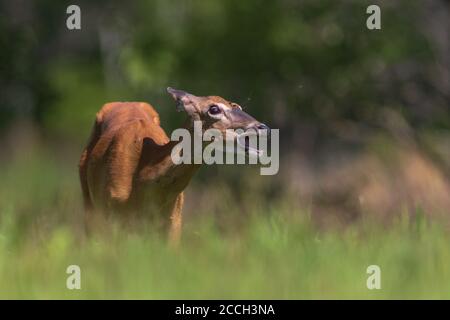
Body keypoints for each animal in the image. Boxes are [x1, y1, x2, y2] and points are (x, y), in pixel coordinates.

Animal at [78, 87, 268, 242]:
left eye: (239, 107)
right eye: (214, 109)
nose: (262, 127)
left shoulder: (173, 220)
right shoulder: (110, 213)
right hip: (89, 205)